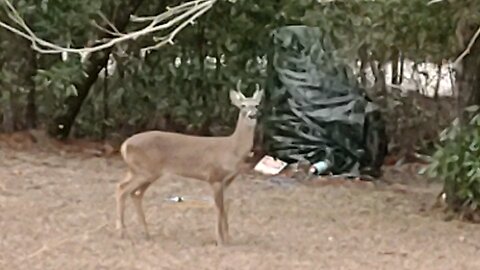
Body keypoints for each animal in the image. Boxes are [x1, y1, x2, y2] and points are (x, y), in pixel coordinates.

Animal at [116, 83, 266, 246]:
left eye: (256, 105)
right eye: (243, 105)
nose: (253, 114)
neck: (232, 149)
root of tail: (124, 145)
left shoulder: (227, 181)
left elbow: (225, 206)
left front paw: (228, 238)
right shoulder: (214, 177)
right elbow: (218, 208)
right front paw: (220, 240)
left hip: (140, 171)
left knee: (131, 192)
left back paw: (146, 233)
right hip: (145, 171)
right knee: (124, 190)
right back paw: (122, 232)